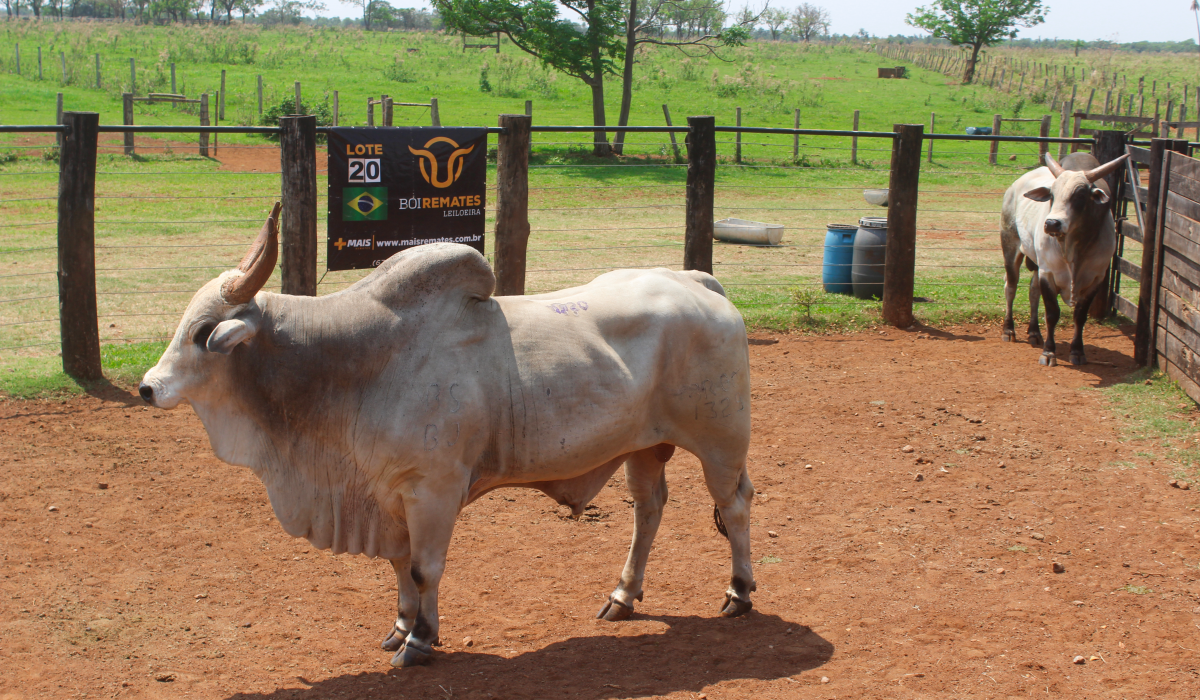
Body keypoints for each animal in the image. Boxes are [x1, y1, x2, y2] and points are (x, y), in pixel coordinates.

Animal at [138, 204, 755, 668]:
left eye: (202, 332)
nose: (147, 387)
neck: (353, 359)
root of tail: (698, 282)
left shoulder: (432, 488)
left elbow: (423, 567)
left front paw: (419, 641)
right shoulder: (388, 496)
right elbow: (398, 565)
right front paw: (400, 625)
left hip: (721, 442)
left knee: (735, 506)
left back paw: (739, 592)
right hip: (644, 448)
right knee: (648, 510)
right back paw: (623, 597)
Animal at [1000, 152, 1128, 366]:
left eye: (1080, 195)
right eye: (1052, 195)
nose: (1052, 223)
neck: (1074, 249)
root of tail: (1013, 187)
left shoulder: (1096, 278)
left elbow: (1080, 316)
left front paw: (1077, 351)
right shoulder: (1048, 273)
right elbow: (1052, 314)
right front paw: (1048, 353)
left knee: (1033, 291)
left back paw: (1034, 332)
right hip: (1011, 247)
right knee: (1011, 287)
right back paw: (1009, 330)